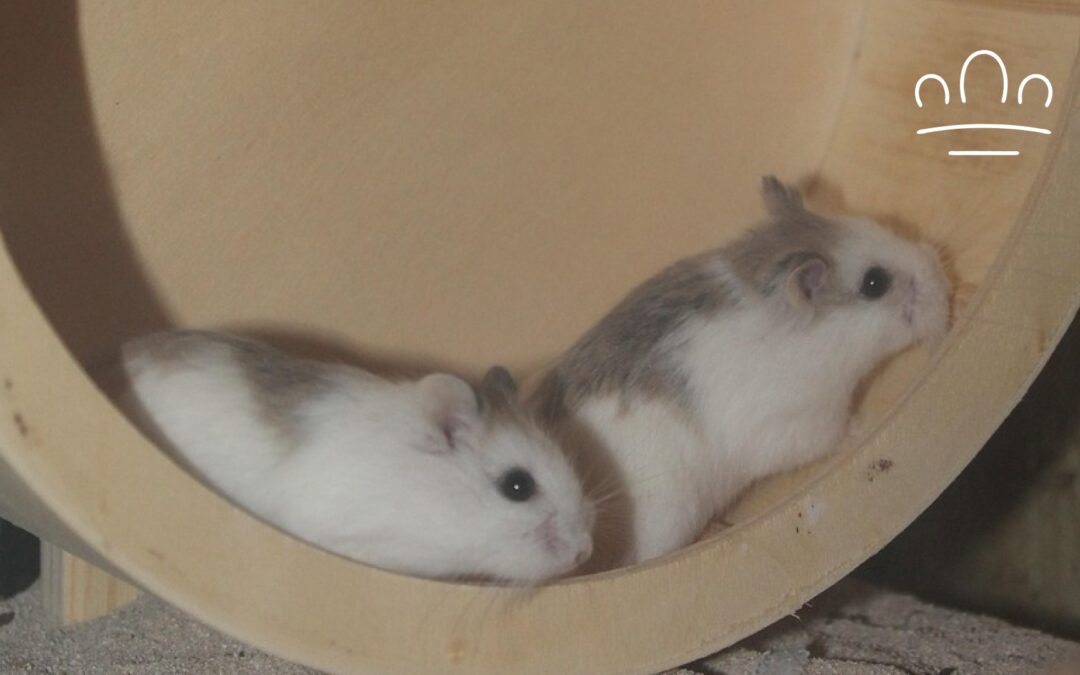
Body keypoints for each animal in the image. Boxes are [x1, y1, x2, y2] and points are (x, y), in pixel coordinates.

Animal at [533, 176, 951, 569]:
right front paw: (861, 428)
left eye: (871, 223)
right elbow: (833, 434)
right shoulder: (800, 421)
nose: (944, 283)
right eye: (875, 283)